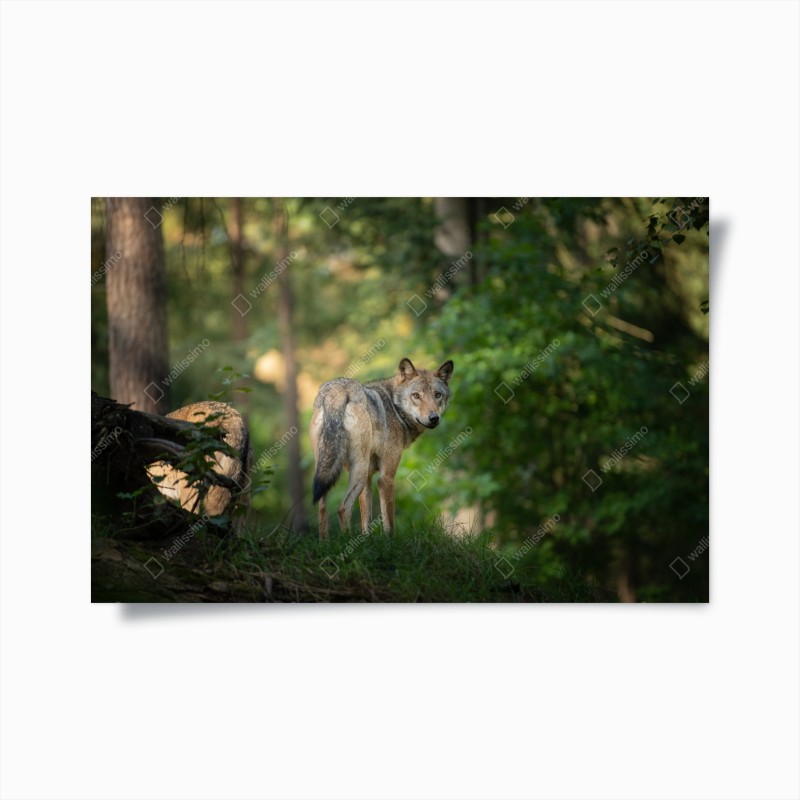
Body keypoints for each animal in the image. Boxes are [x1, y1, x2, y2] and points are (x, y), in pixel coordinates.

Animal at [310, 357, 454, 539]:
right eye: (416, 396)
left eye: (437, 395)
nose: (434, 418)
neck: (394, 407)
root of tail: (338, 390)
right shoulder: (385, 478)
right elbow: (388, 521)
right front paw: (390, 542)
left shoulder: (369, 479)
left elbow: (366, 520)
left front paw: (366, 540)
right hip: (359, 471)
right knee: (343, 507)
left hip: (327, 471)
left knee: (322, 508)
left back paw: (325, 542)